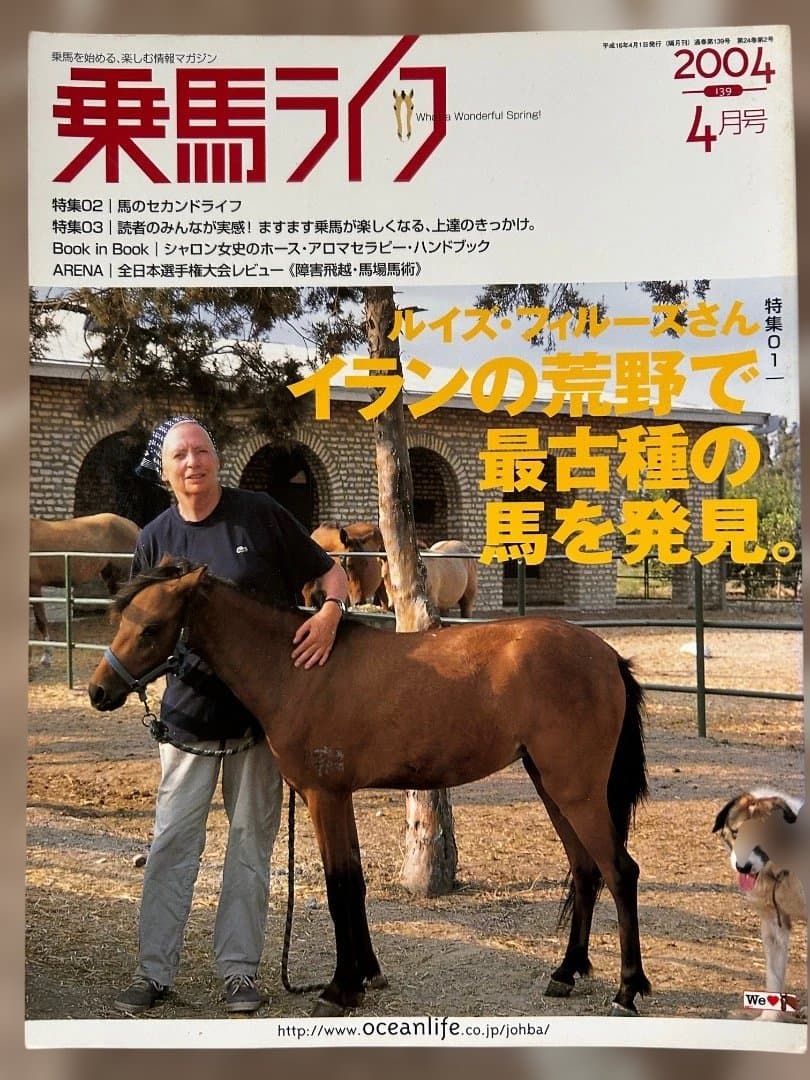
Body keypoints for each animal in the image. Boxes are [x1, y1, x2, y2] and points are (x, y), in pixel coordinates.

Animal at [88, 561, 651, 1018]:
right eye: (121, 621)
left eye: (151, 628)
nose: (99, 691)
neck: (297, 670)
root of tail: (606, 657)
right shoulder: (338, 799)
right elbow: (354, 884)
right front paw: (366, 975)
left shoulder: (326, 797)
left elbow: (340, 886)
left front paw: (340, 989)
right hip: (554, 788)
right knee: (586, 872)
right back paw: (566, 973)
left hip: (575, 790)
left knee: (619, 872)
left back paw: (627, 990)